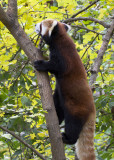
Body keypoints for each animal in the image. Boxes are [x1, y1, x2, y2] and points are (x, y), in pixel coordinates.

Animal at [34, 19, 96, 159]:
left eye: (40, 24)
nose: (35, 25)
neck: (61, 38)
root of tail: (92, 110)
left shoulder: (64, 58)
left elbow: (55, 66)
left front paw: (41, 64)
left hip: (76, 110)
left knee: (73, 126)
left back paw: (67, 138)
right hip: (62, 101)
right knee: (58, 106)